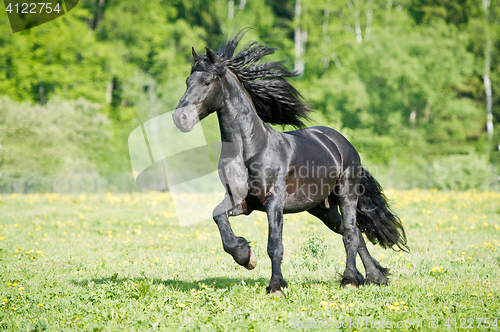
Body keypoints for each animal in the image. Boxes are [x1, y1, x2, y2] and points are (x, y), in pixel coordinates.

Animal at [172, 31, 406, 294]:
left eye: (207, 82)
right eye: (188, 81)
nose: (180, 118)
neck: (250, 150)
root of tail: (342, 143)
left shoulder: (274, 201)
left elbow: (275, 243)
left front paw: (275, 285)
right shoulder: (241, 201)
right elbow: (218, 217)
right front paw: (246, 256)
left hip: (347, 195)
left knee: (349, 234)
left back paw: (350, 279)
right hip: (322, 208)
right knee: (355, 232)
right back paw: (375, 277)